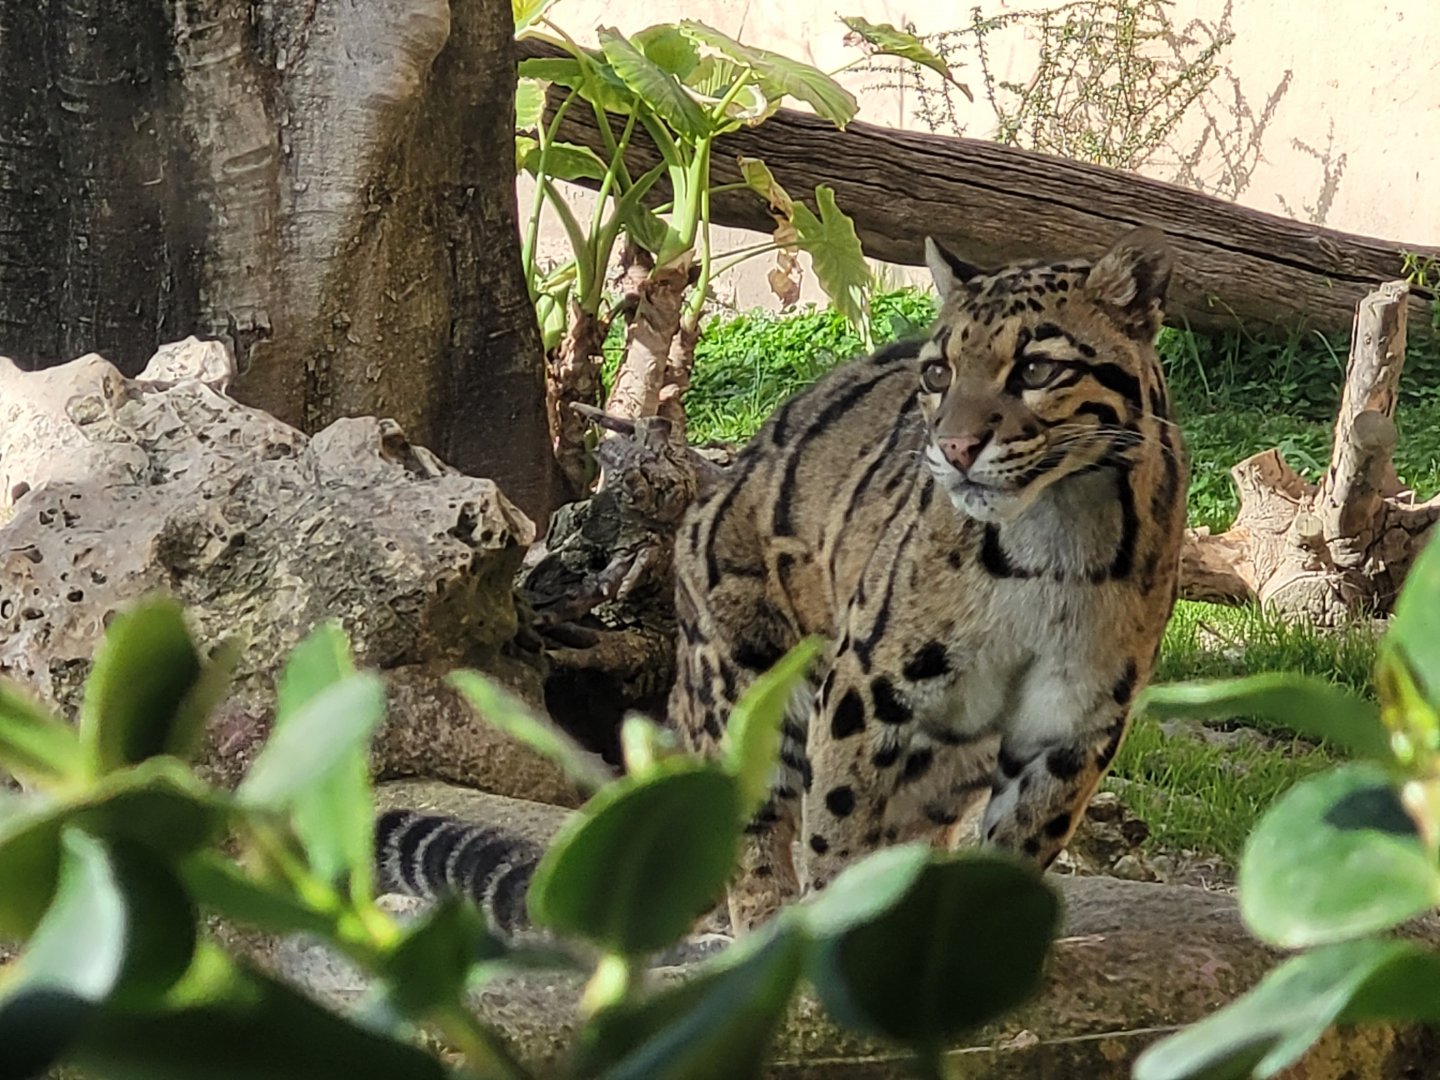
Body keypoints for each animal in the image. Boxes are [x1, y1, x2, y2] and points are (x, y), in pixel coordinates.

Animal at [668, 227, 1189, 934]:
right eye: (939, 373)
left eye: (1036, 369)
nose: (956, 448)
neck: (1055, 537)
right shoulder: (865, 688)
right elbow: (836, 828)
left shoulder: (1074, 718)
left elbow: (1021, 840)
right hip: (745, 689)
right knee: (753, 835)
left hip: (947, 766)